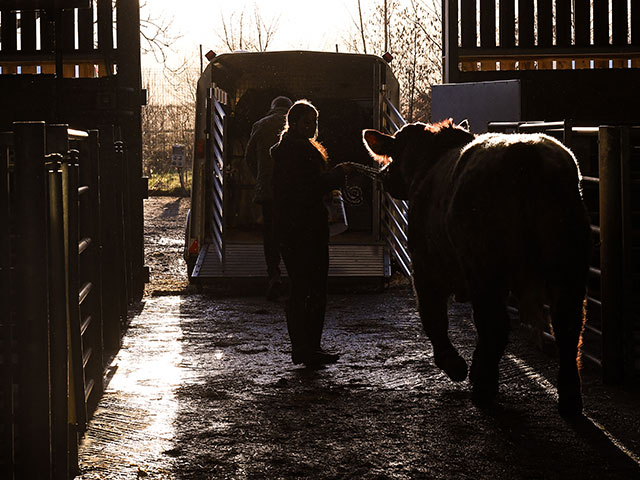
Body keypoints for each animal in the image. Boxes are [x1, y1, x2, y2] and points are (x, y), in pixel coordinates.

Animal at [362, 120, 592, 416]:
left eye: (394, 155)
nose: (384, 175)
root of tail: (526, 152)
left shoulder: (425, 269)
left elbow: (433, 318)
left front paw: (453, 363)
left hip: (485, 267)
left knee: (493, 324)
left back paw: (483, 385)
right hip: (567, 267)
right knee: (568, 327)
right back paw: (570, 399)